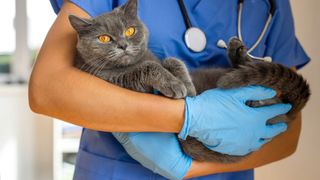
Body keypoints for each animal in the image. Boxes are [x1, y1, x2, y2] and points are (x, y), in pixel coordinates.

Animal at [69, 0, 310, 164]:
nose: (122, 45)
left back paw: (238, 51)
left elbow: (171, 59)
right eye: (104, 38)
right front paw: (177, 86)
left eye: (130, 30)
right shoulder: (117, 80)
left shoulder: (159, 58)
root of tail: (288, 111)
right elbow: (149, 68)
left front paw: (187, 85)